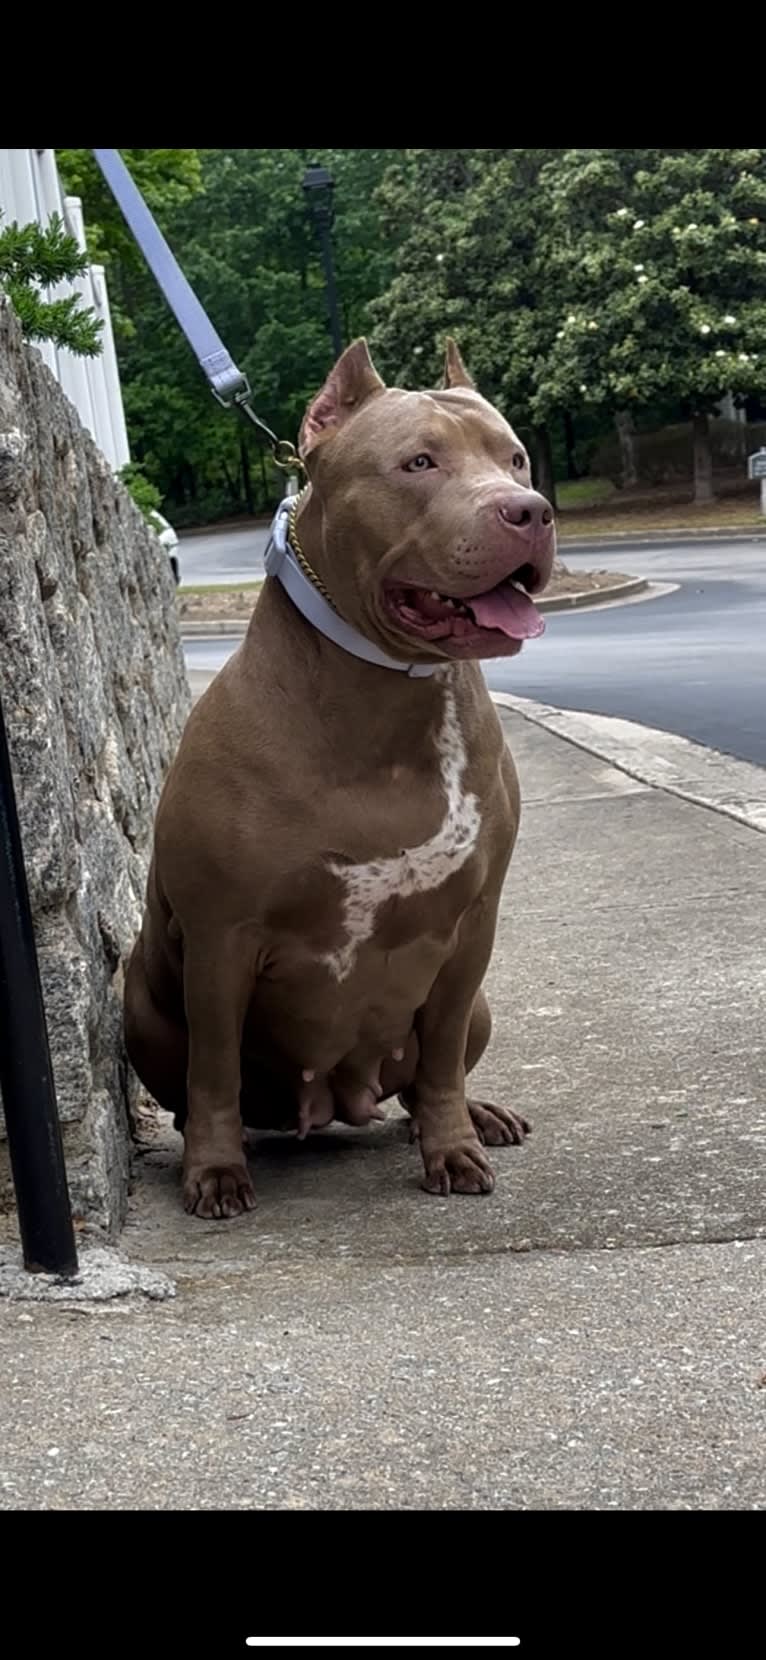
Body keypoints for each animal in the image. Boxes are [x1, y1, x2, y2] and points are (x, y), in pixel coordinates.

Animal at [125, 340, 554, 1221]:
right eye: (419, 462)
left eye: (515, 458)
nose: (529, 510)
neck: (388, 697)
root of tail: (331, 1103)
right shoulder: (221, 939)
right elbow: (213, 1070)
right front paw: (213, 1171)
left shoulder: (472, 929)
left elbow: (441, 1060)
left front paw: (451, 1144)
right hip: (138, 992)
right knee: (200, 1084)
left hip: (475, 1006)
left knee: (426, 1076)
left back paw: (474, 1113)